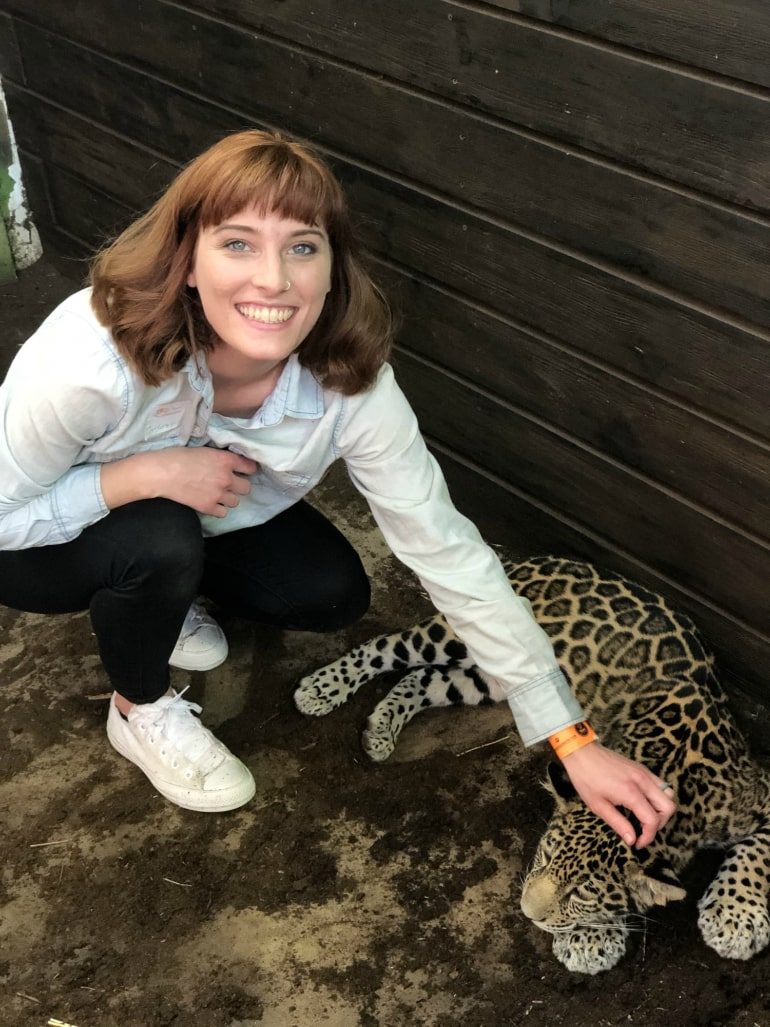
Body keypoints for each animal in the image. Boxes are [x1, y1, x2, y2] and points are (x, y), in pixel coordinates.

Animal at [297, 558, 770, 973]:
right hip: (448, 632)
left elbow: (756, 851)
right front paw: (590, 939)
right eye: (545, 855)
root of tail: (542, 559)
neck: (671, 769)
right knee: (384, 648)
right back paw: (322, 688)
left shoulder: (755, 789)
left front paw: (735, 913)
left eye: (584, 892)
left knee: (421, 678)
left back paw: (380, 727)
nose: (526, 912)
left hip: (486, 678)